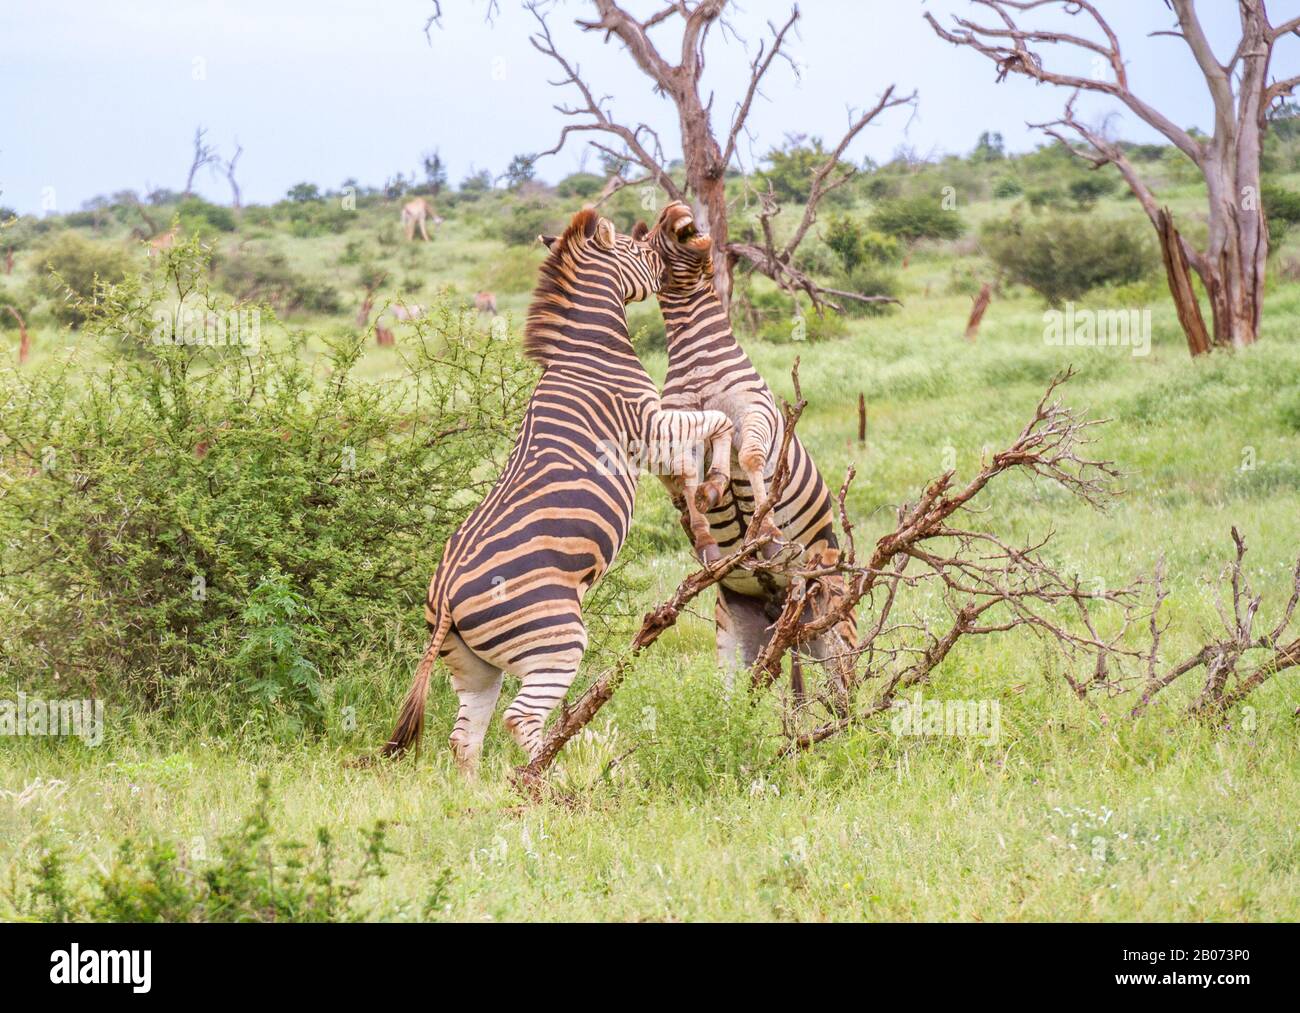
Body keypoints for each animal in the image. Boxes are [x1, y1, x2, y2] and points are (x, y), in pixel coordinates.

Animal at [379, 209, 738, 775]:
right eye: (640, 247)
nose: (668, 259)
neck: (588, 350)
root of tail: (447, 597)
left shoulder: (652, 436)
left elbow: (693, 457)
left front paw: (700, 522)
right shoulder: (647, 425)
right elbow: (719, 423)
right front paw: (716, 487)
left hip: (474, 665)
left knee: (465, 736)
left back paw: (480, 793)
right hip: (556, 641)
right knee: (520, 719)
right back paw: (551, 781)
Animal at [634, 202, 857, 702]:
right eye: (656, 230)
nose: (676, 208)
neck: (697, 357)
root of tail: (781, 606)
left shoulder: (756, 413)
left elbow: (753, 458)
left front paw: (768, 526)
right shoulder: (679, 427)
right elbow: (688, 480)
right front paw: (703, 532)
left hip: (833, 619)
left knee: (849, 694)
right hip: (738, 639)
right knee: (739, 706)